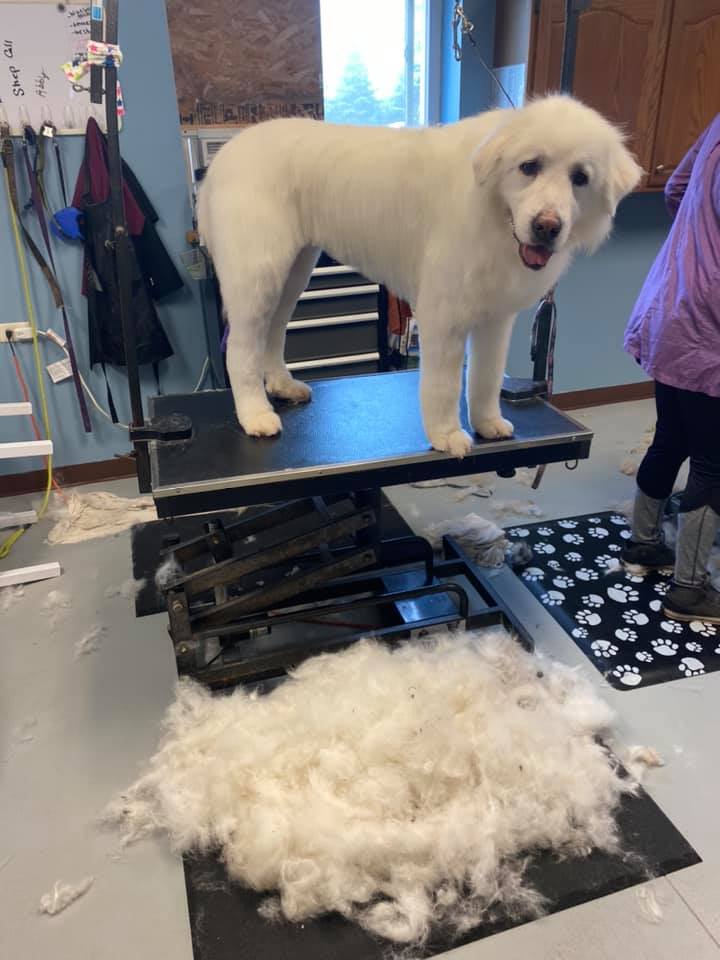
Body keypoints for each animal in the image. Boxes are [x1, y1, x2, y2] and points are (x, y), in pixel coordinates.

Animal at [198, 95, 642, 457]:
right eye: (529, 167)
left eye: (580, 178)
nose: (547, 226)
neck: (492, 210)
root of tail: (223, 157)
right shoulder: (444, 315)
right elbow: (444, 385)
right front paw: (447, 435)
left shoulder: (496, 318)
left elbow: (485, 376)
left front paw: (487, 423)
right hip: (259, 274)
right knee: (240, 348)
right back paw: (255, 414)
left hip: (292, 273)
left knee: (272, 333)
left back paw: (282, 386)